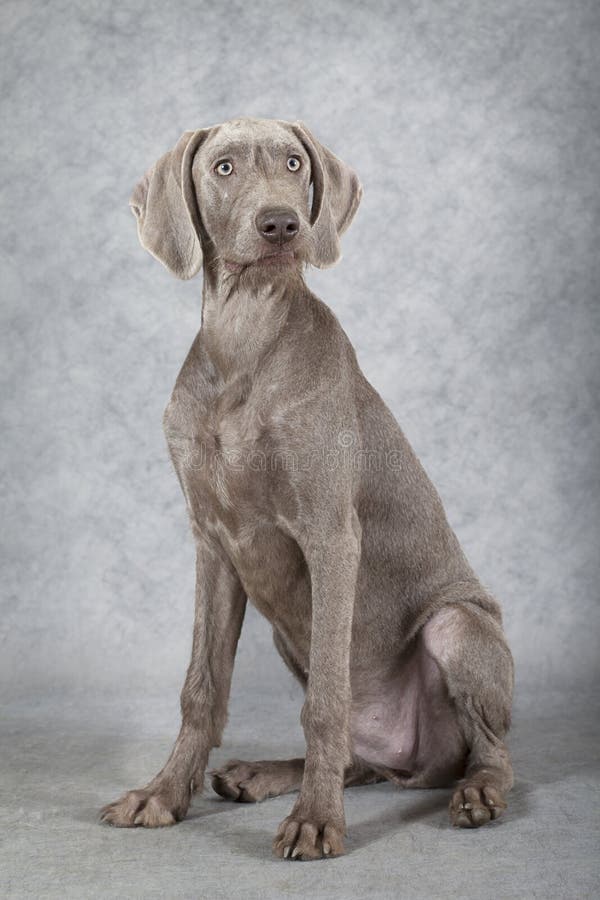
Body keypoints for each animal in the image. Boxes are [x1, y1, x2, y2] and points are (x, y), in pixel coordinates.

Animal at [101, 118, 512, 856]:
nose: (281, 224)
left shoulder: (330, 537)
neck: (245, 338)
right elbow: (201, 687)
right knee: (357, 758)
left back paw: (477, 794)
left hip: (457, 623)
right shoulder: (213, 543)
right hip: (285, 638)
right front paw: (163, 794)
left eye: (294, 163)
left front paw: (317, 820)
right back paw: (258, 775)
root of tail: (417, 765)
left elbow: (325, 701)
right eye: (225, 167)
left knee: (489, 749)